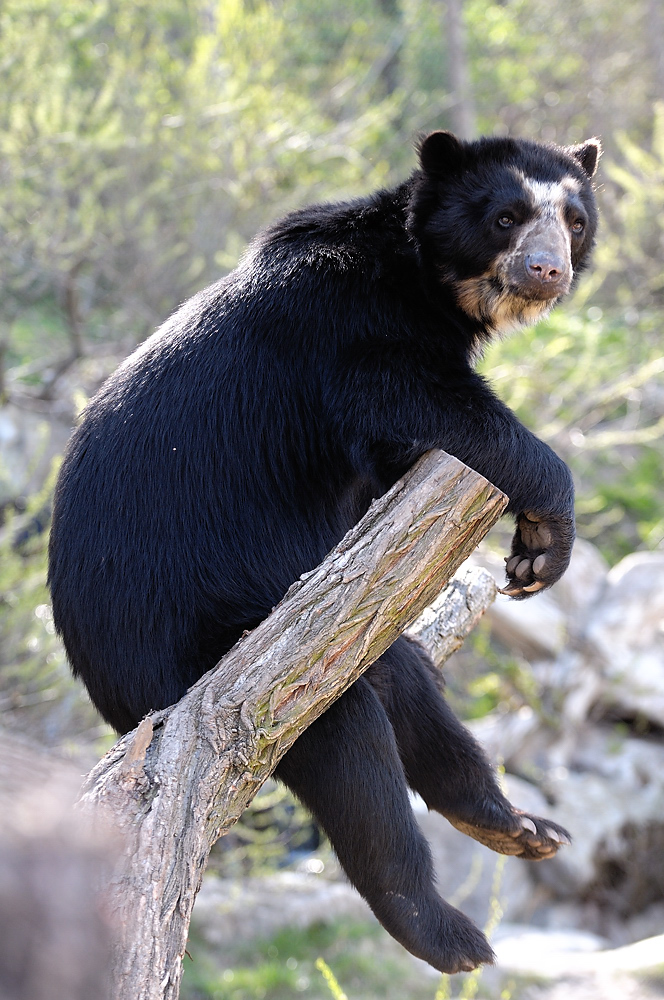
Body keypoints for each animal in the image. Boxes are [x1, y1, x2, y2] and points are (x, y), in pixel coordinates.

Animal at [49, 133, 600, 976]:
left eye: (573, 220)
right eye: (506, 217)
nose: (547, 270)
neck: (422, 282)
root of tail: (111, 697)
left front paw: (531, 559)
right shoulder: (356, 341)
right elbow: (451, 417)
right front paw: (547, 543)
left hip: (315, 629)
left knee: (402, 678)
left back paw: (517, 826)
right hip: (202, 651)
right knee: (349, 743)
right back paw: (447, 933)